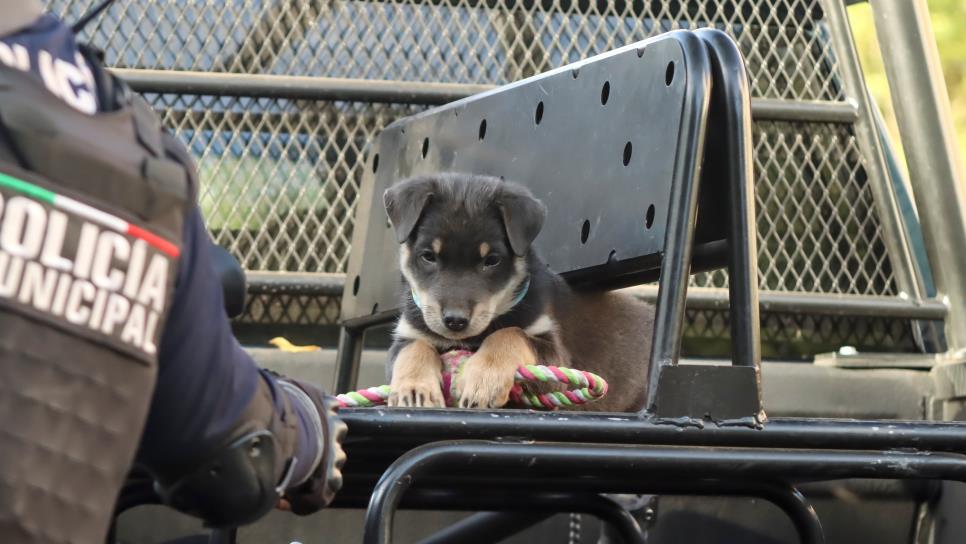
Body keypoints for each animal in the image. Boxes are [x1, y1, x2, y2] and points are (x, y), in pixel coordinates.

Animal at [386, 174, 656, 412]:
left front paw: (482, 380)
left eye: (492, 260)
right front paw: (414, 390)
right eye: (428, 256)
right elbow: (414, 348)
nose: (455, 321)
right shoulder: (407, 335)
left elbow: (510, 333)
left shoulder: (555, 356)